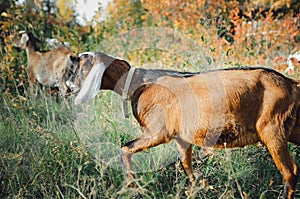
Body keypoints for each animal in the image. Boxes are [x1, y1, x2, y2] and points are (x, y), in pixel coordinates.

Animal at [67, 52, 300, 198]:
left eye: (81, 67)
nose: (68, 87)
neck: (137, 84)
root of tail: (291, 84)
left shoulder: (158, 133)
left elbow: (125, 148)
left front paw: (132, 189)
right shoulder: (181, 137)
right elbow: (186, 165)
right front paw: (197, 190)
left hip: (271, 129)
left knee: (290, 172)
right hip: (292, 128)